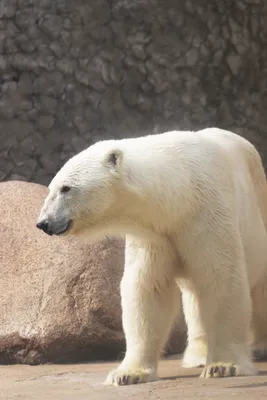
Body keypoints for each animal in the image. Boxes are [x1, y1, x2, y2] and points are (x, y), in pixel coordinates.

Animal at [36, 127, 267, 384]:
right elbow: (147, 288)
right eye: (51, 188)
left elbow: (221, 277)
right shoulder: (155, 235)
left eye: (66, 188)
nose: (43, 223)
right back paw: (198, 355)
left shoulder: (207, 215)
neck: (180, 191)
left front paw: (223, 366)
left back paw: (260, 347)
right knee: (194, 296)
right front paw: (127, 373)